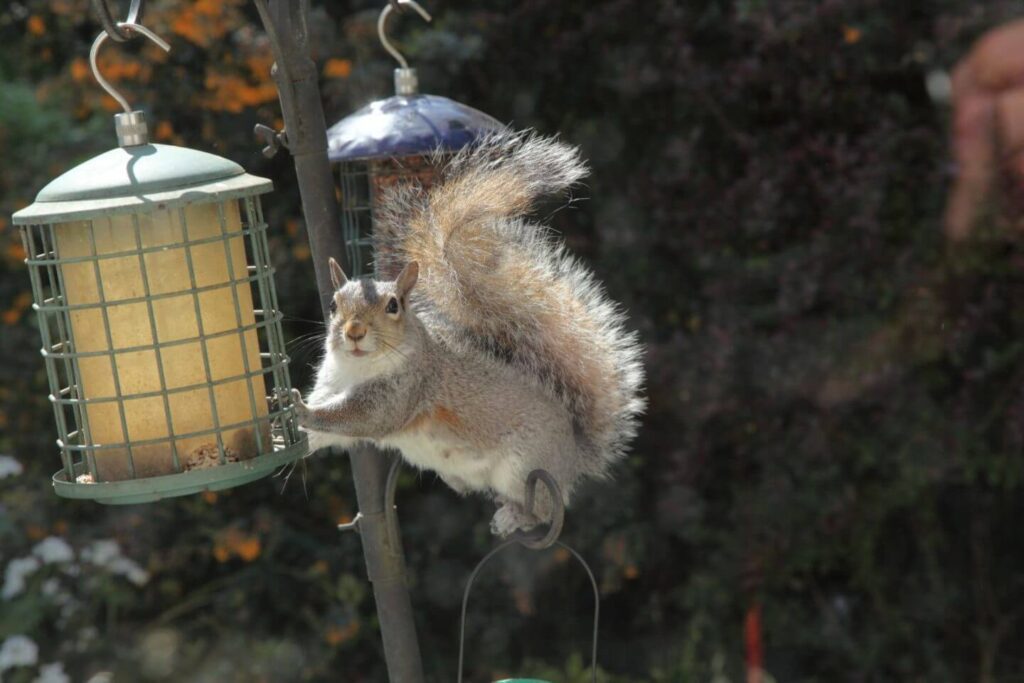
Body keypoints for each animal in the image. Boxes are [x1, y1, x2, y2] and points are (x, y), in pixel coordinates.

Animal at [291, 130, 646, 537]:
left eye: (393, 306)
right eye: (334, 305)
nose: (354, 332)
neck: (356, 367)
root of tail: (573, 457)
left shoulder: (409, 388)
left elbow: (362, 417)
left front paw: (302, 411)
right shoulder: (331, 383)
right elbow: (328, 431)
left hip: (525, 467)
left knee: (543, 511)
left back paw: (514, 517)